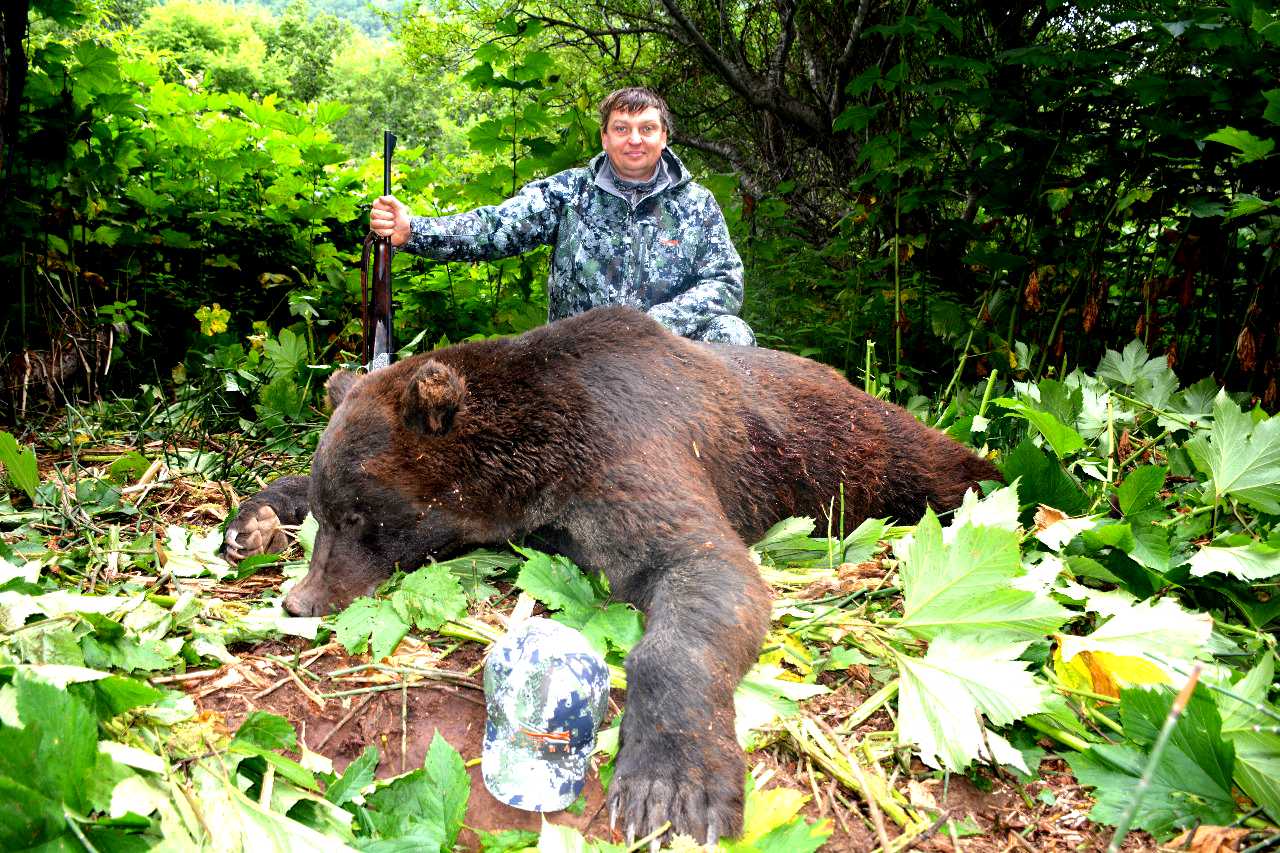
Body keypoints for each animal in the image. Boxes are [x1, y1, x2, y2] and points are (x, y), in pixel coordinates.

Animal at [220, 306, 998, 845]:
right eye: (331, 510)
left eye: (360, 514)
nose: (301, 599)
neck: (535, 450)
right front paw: (252, 520)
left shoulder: (626, 446)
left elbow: (700, 573)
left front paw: (670, 785)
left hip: (852, 445)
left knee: (935, 462)